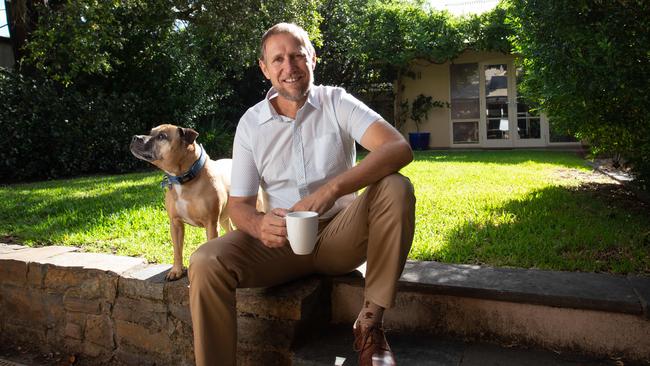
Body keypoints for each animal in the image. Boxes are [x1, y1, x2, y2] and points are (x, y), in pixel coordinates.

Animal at [129, 124, 264, 282]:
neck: (183, 178)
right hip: (224, 218)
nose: (135, 137)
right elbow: (177, 250)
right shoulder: (175, 223)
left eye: (162, 136)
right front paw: (176, 271)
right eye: (151, 132)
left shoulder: (211, 223)